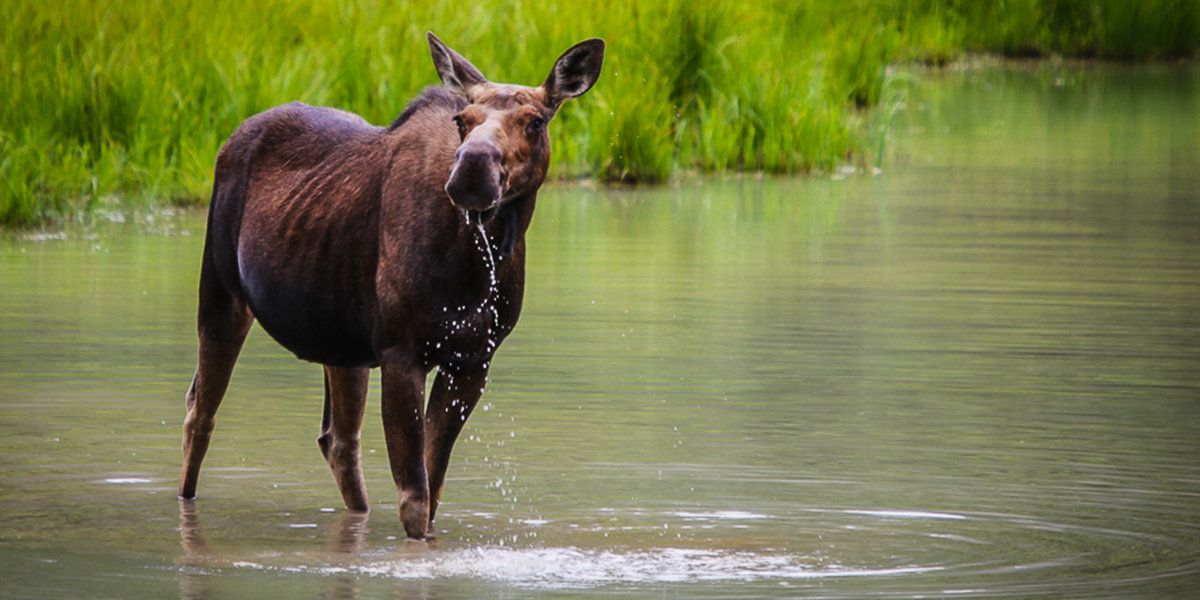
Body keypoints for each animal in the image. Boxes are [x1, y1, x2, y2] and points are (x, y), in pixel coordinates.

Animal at [175, 31, 609, 540]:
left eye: (535, 121)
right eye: (462, 120)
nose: (472, 171)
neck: (477, 262)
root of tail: (232, 137)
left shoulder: (472, 360)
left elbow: (433, 489)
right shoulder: (402, 352)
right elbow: (415, 500)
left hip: (340, 339)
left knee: (338, 440)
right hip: (221, 293)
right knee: (199, 415)